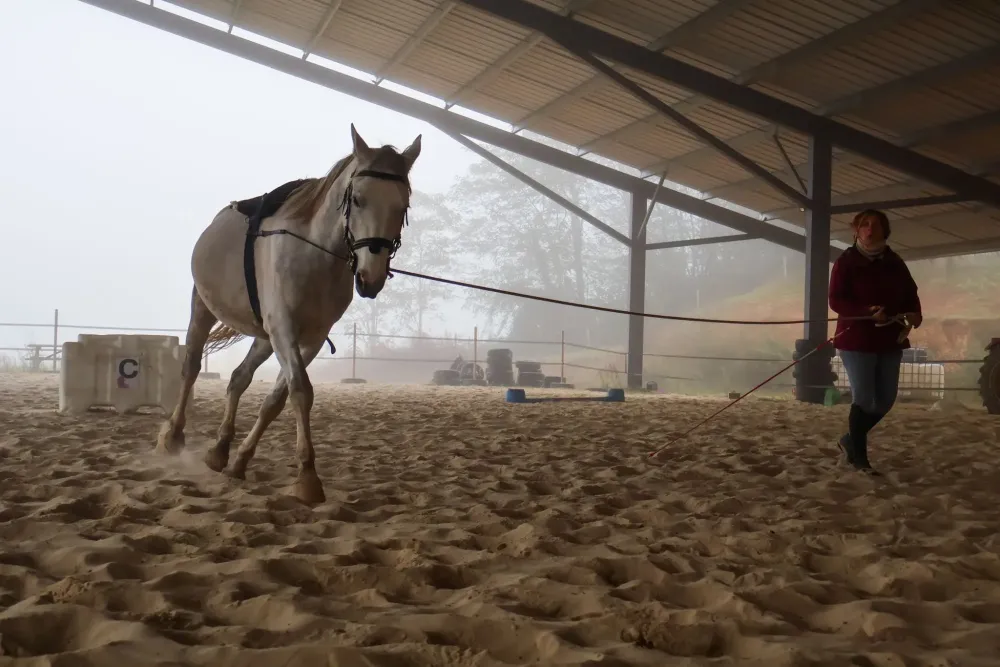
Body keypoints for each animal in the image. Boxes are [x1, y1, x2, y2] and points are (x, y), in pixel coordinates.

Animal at [154, 124, 422, 505]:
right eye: (357, 199)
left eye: (403, 206)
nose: (370, 278)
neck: (315, 255)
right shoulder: (284, 330)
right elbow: (300, 392)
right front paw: (307, 477)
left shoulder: (308, 339)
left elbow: (277, 399)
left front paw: (240, 461)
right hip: (204, 308)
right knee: (191, 367)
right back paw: (174, 437)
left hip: (265, 338)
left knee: (238, 378)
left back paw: (220, 451)